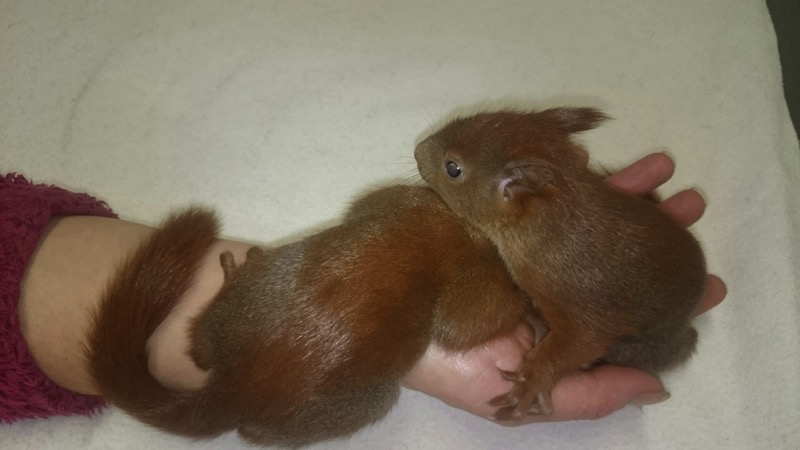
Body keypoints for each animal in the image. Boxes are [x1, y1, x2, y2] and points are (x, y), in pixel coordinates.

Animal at [414, 107, 707, 420]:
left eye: (452, 168)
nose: (418, 150)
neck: (552, 221)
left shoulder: (586, 313)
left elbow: (579, 344)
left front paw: (533, 379)